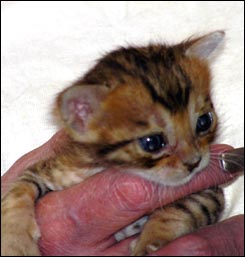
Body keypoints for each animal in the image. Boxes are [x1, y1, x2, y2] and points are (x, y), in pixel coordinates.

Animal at [0, 30, 225, 254]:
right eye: (152, 142)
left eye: (204, 122)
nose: (194, 162)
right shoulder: (52, 169)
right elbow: (17, 190)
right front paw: (14, 240)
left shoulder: (210, 192)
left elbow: (182, 208)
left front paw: (150, 242)